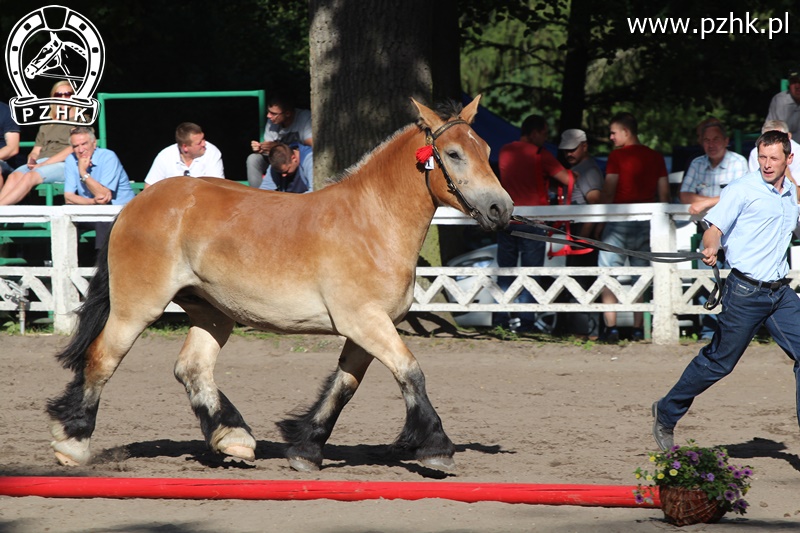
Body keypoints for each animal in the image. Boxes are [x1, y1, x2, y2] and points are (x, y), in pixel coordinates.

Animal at [47, 94, 516, 470]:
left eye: (486, 149)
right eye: (453, 154)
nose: (501, 209)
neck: (372, 222)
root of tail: (137, 203)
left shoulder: (365, 329)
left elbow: (343, 387)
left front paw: (305, 448)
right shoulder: (365, 322)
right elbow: (410, 372)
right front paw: (436, 447)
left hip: (212, 313)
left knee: (192, 367)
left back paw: (233, 438)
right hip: (137, 307)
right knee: (102, 358)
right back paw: (73, 444)